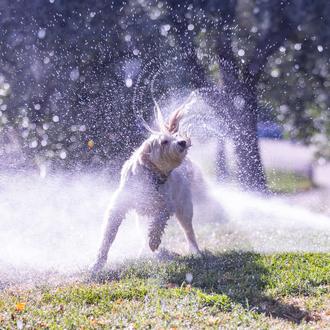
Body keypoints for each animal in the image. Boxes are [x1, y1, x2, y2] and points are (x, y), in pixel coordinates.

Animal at [91, 92, 202, 270]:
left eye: (174, 137)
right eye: (164, 142)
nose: (183, 142)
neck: (152, 176)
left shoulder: (166, 206)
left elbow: (158, 223)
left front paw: (154, 242)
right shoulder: (119, 205)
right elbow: (108, 235)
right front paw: (98, 262)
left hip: (184, 208)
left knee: (188, 231)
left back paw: (195, 251)